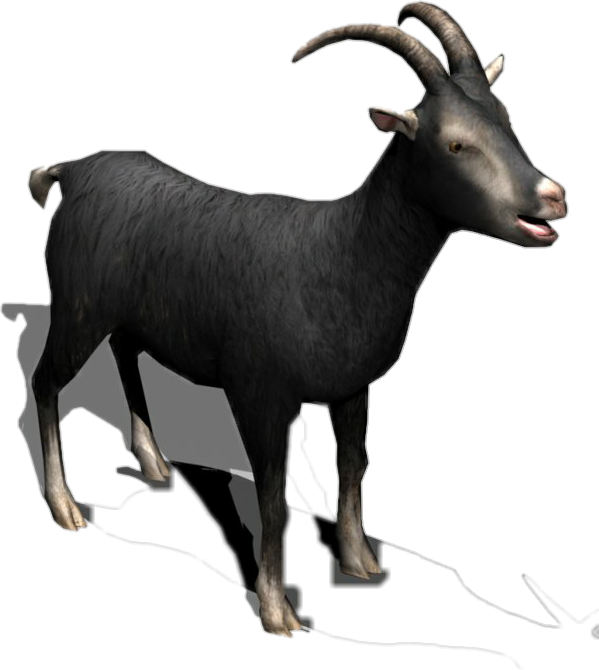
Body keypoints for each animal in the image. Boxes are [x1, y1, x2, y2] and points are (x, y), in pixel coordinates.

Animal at [28, 1, 567, 638]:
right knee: (47, 379)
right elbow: (273, 500)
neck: (339, 255)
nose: (552, 197)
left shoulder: (353, 387)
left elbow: (354, 466)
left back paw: (155, 463)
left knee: (126, 354)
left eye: (505, 116)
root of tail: (70, 171)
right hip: (76, 305)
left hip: (126, 314)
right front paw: (278, 609)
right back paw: (65, 507)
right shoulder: (260, 393)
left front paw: (360, 561)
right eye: (455, 144)